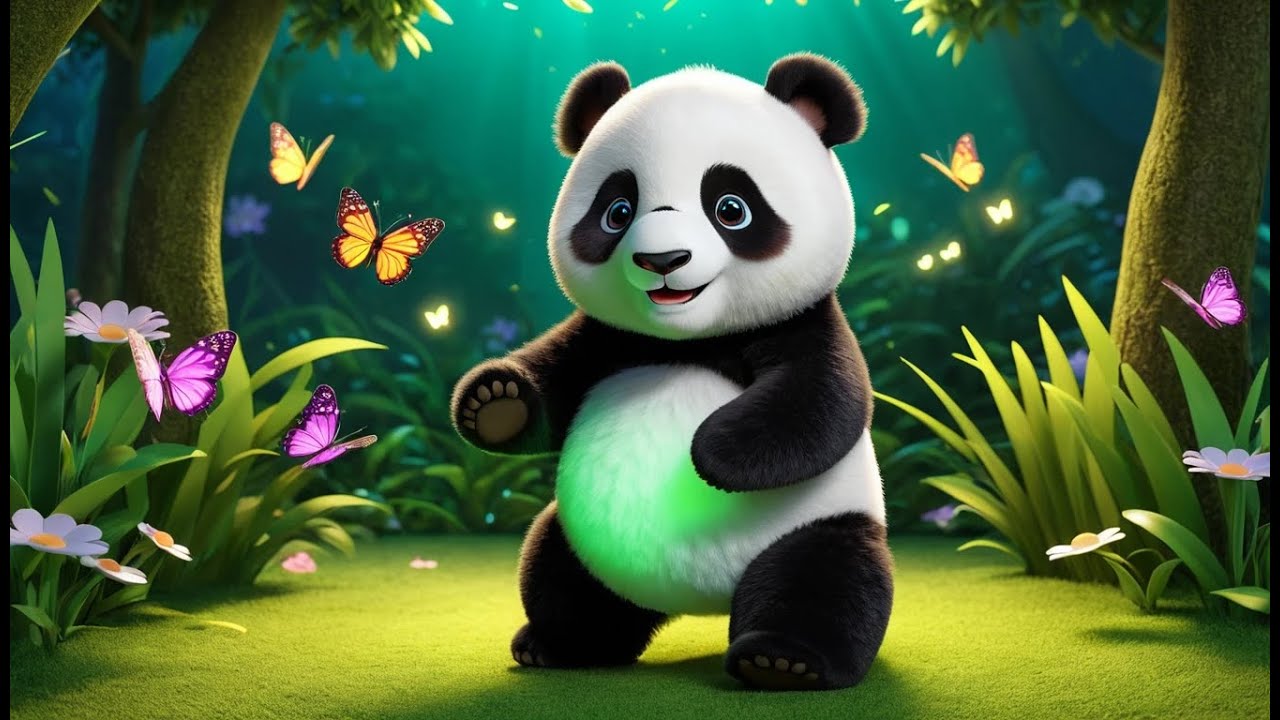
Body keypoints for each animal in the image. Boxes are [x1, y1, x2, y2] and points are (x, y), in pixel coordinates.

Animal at [451, 54, 892, 692]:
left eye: (731, 208)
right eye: (617, 211)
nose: (661, 261)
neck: (696, 336)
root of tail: (700, 601)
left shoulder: (808, 325)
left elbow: (823, 404)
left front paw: (711, 452)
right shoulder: (605, 338)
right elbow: (551, 386)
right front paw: (494, 402)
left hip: (819, 521)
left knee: (828, 581)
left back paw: (784, 660)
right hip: (584, 541)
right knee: (558, 576)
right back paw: (557, 644)